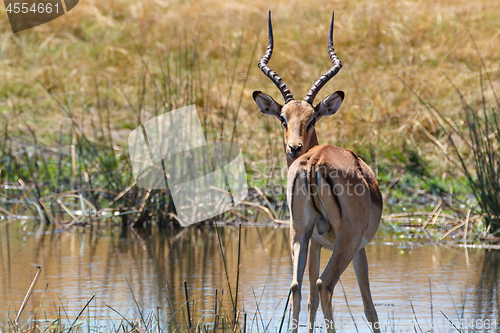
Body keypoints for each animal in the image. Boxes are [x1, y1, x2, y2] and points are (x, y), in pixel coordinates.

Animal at [254, 11, 382, 332]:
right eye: (283, 118)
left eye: (311, 119)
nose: (294, 147)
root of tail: (315, 161)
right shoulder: (358, 248)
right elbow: (369, 308)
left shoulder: (313, 241)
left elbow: (308, 295)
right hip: (346, 242)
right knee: (325, 284)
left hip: (298, 231)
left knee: (297, 287)